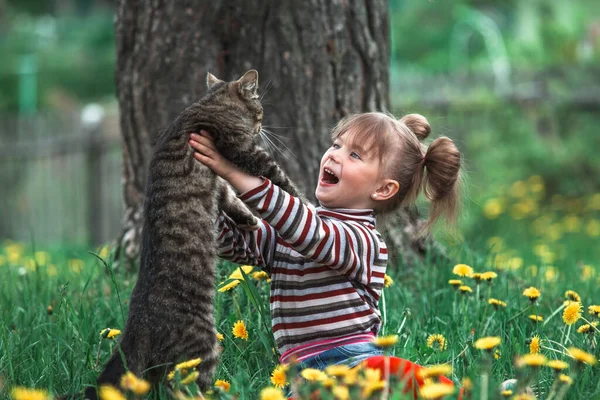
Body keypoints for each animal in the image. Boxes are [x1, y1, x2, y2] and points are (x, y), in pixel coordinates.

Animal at [86, 70, 302, 398]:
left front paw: (249, 219)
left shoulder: (221, 181)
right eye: (260, 110)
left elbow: (231, 197)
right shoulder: (244, 149)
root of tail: (135, 328)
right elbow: (279, 178)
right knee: (184, 387)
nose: (261, 126)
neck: (209, 104)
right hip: (203, 345)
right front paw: (306, 201)